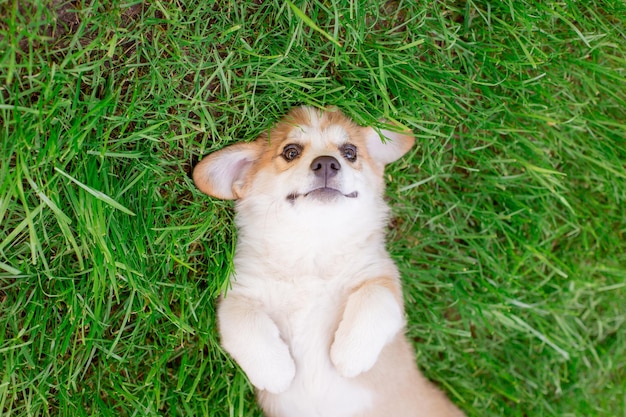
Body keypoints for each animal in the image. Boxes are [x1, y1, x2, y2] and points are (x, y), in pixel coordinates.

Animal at [194, 105, 464, 414]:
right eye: (290, 152)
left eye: (350, 152)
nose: (326, 163)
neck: (314, 244)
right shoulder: (238, 293)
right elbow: (243, 323)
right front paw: (276, 371)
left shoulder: (382, 276)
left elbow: (376, 298)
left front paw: (350, 355)